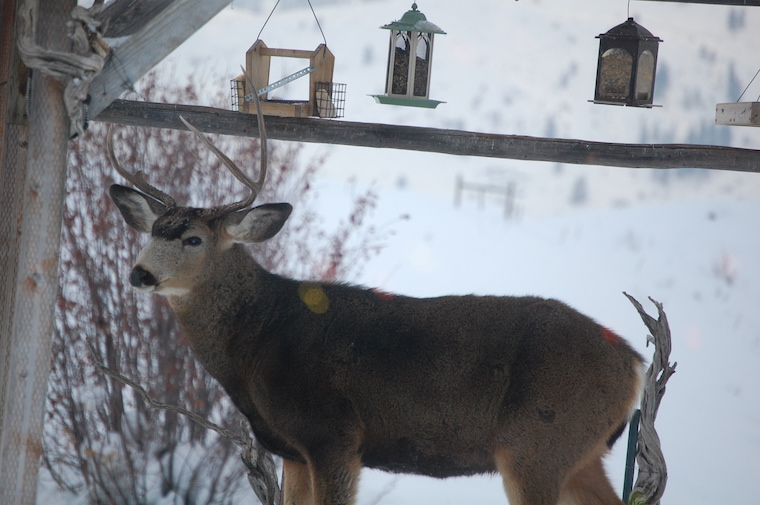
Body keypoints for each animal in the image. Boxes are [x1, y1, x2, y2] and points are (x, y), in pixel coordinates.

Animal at [108, 90, 645, 505]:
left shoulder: (334, 435)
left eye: (193, 239)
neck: (257, 343)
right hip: (578, 453)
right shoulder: (292, 451)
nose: (139, 273)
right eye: (153, 230)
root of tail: (634, 363)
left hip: (537, 442)